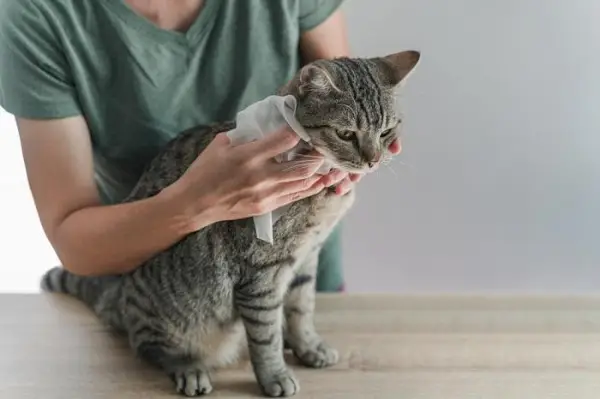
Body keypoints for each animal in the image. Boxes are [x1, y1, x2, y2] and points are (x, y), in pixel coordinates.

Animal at [39, 49, 420, 396]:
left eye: (386, 131)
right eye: (345, 134)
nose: (372, 160)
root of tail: (117, 298)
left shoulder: (306, 258)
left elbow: (301, 308)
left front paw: (307, 346)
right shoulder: (262, 272)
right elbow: (266, 336)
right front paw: (275, 376)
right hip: (165, 316)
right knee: (147, 345)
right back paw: (188, 368)